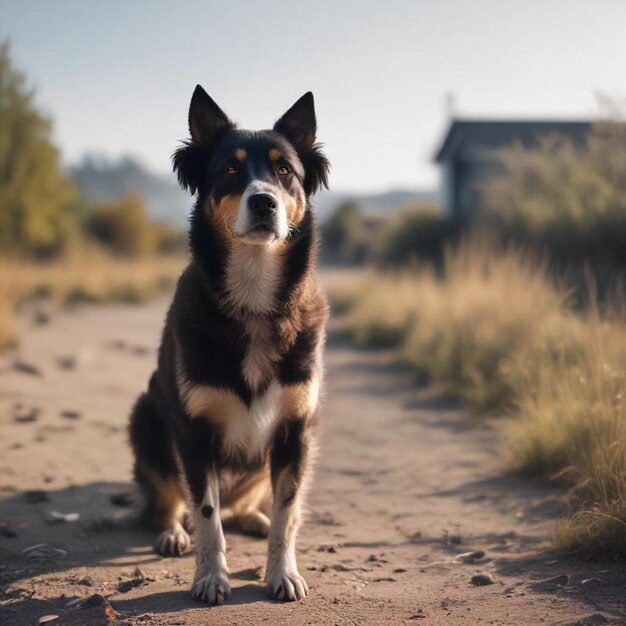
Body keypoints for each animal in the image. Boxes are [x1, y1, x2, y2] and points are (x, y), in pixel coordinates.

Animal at [129, 85, 330, 604]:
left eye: (285, 172)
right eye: (231, 170)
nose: (264, 203)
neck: (254, 299)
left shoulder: (296, 432)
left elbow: (286, 513)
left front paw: (282, 572)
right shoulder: (193, 433)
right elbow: (206, 516)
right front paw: (210, 577)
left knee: (247, 507)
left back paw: (254, 518)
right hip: (147, 416)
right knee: (170, 500)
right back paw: (171, 532)